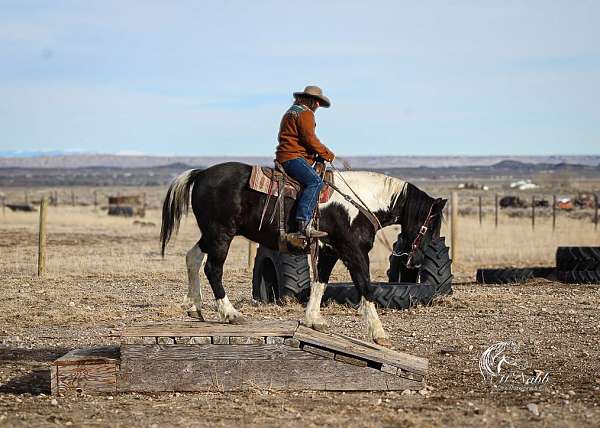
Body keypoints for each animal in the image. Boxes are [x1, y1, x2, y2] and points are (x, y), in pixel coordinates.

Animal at [159, 162, 446, 346]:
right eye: (430, 224)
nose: (415, 262)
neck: (360, 203)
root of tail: (201, 173)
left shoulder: (330, 250)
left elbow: (320, 282)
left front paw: (312, 319)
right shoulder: (353, 251)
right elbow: (365, 286)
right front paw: (379, 334)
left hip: (211, 234)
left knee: (192, 257)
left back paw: (194, 306)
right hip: (221, 234)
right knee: (213, 269)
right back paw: (230, 314)